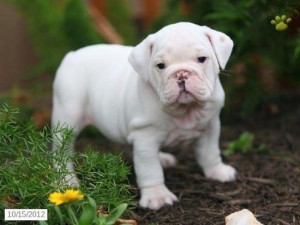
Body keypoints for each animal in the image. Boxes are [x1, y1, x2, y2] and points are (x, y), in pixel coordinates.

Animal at [53, 22, 237, 210]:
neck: (186, 109)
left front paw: (217, 171)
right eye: (161, 66)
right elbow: (150, 169)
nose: (181, 74)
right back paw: (67, 181)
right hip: (68, 116)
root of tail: (72, 55)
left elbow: (210, 152)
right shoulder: (145, 139)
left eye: (202, 59)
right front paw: (158, 196)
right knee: (62, 151)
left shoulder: (210, 126)